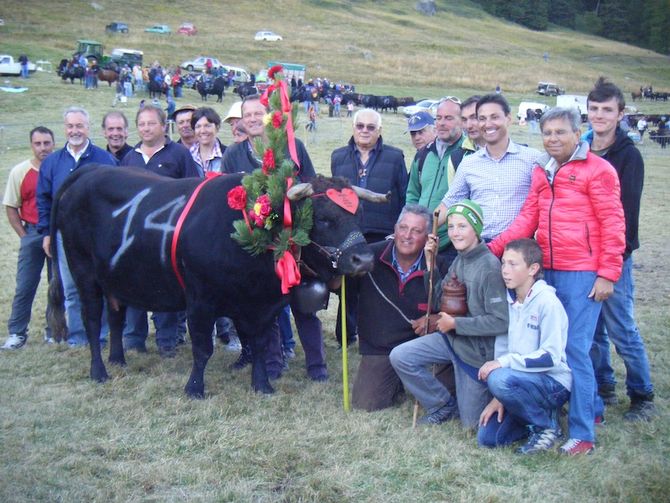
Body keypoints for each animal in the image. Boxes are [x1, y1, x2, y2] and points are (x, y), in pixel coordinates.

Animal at [48, 167, 388, 400]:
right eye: (323, 217)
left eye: (358, 214)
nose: (363, 259)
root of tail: (91, 170)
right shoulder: (200, 300)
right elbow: (203, 348)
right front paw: (194, 388)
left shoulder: (262, 305)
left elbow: (261, 344)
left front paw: (262, 385)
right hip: (83, 273)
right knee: (93, 321)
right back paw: (99, 371)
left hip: (114, 278)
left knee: (116, 315)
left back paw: (118, 359)